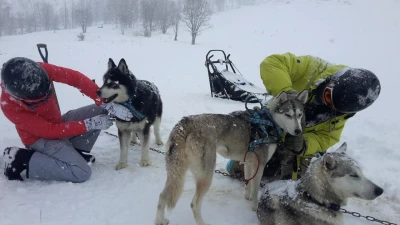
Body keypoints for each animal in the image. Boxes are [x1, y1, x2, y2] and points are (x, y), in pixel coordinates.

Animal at [155, 89, 308, 225]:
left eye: (300, 114)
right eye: (288, 114)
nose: (298, 131)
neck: (268, 122)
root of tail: (184, 123)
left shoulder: (249, 162)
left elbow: (248, 183)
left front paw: (246, 197)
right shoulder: (260, 164)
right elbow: (255, 189)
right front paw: (254, 207)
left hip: (176, 172)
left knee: (162, 196)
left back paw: (160, 220)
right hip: (206, 175)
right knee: (194, 204)